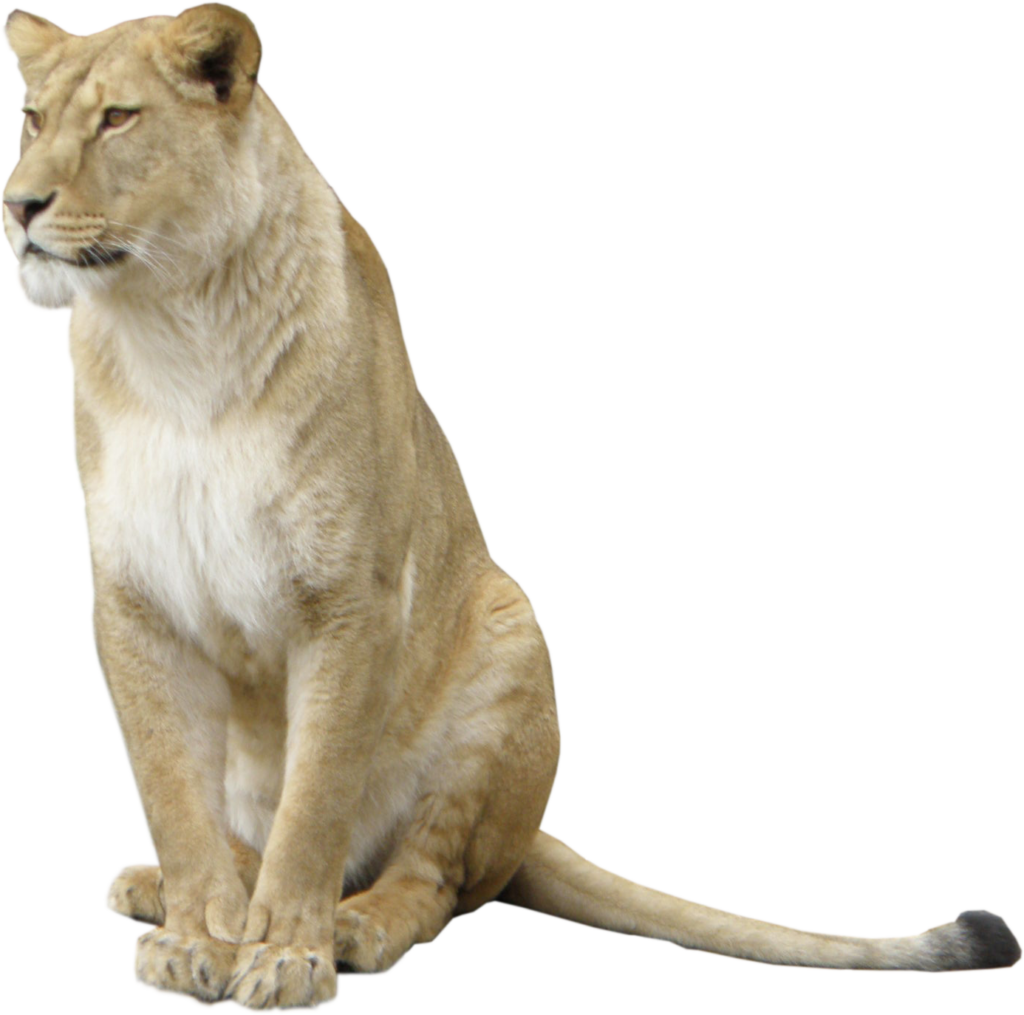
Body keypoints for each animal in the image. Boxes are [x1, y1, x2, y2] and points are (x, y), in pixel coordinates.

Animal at [1, 5, 1018, 1011]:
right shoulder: (136, 603)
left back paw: (354, 925)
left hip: (508, 637)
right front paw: (196, 937)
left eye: (118, 119)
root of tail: (530, 838)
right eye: (34, 120)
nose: (19, 206)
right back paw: (163, 887)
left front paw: (286, 953)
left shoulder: (351, 595)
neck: (173, 330)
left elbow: (317, 799)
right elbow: (173, 793)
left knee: (434, 879)